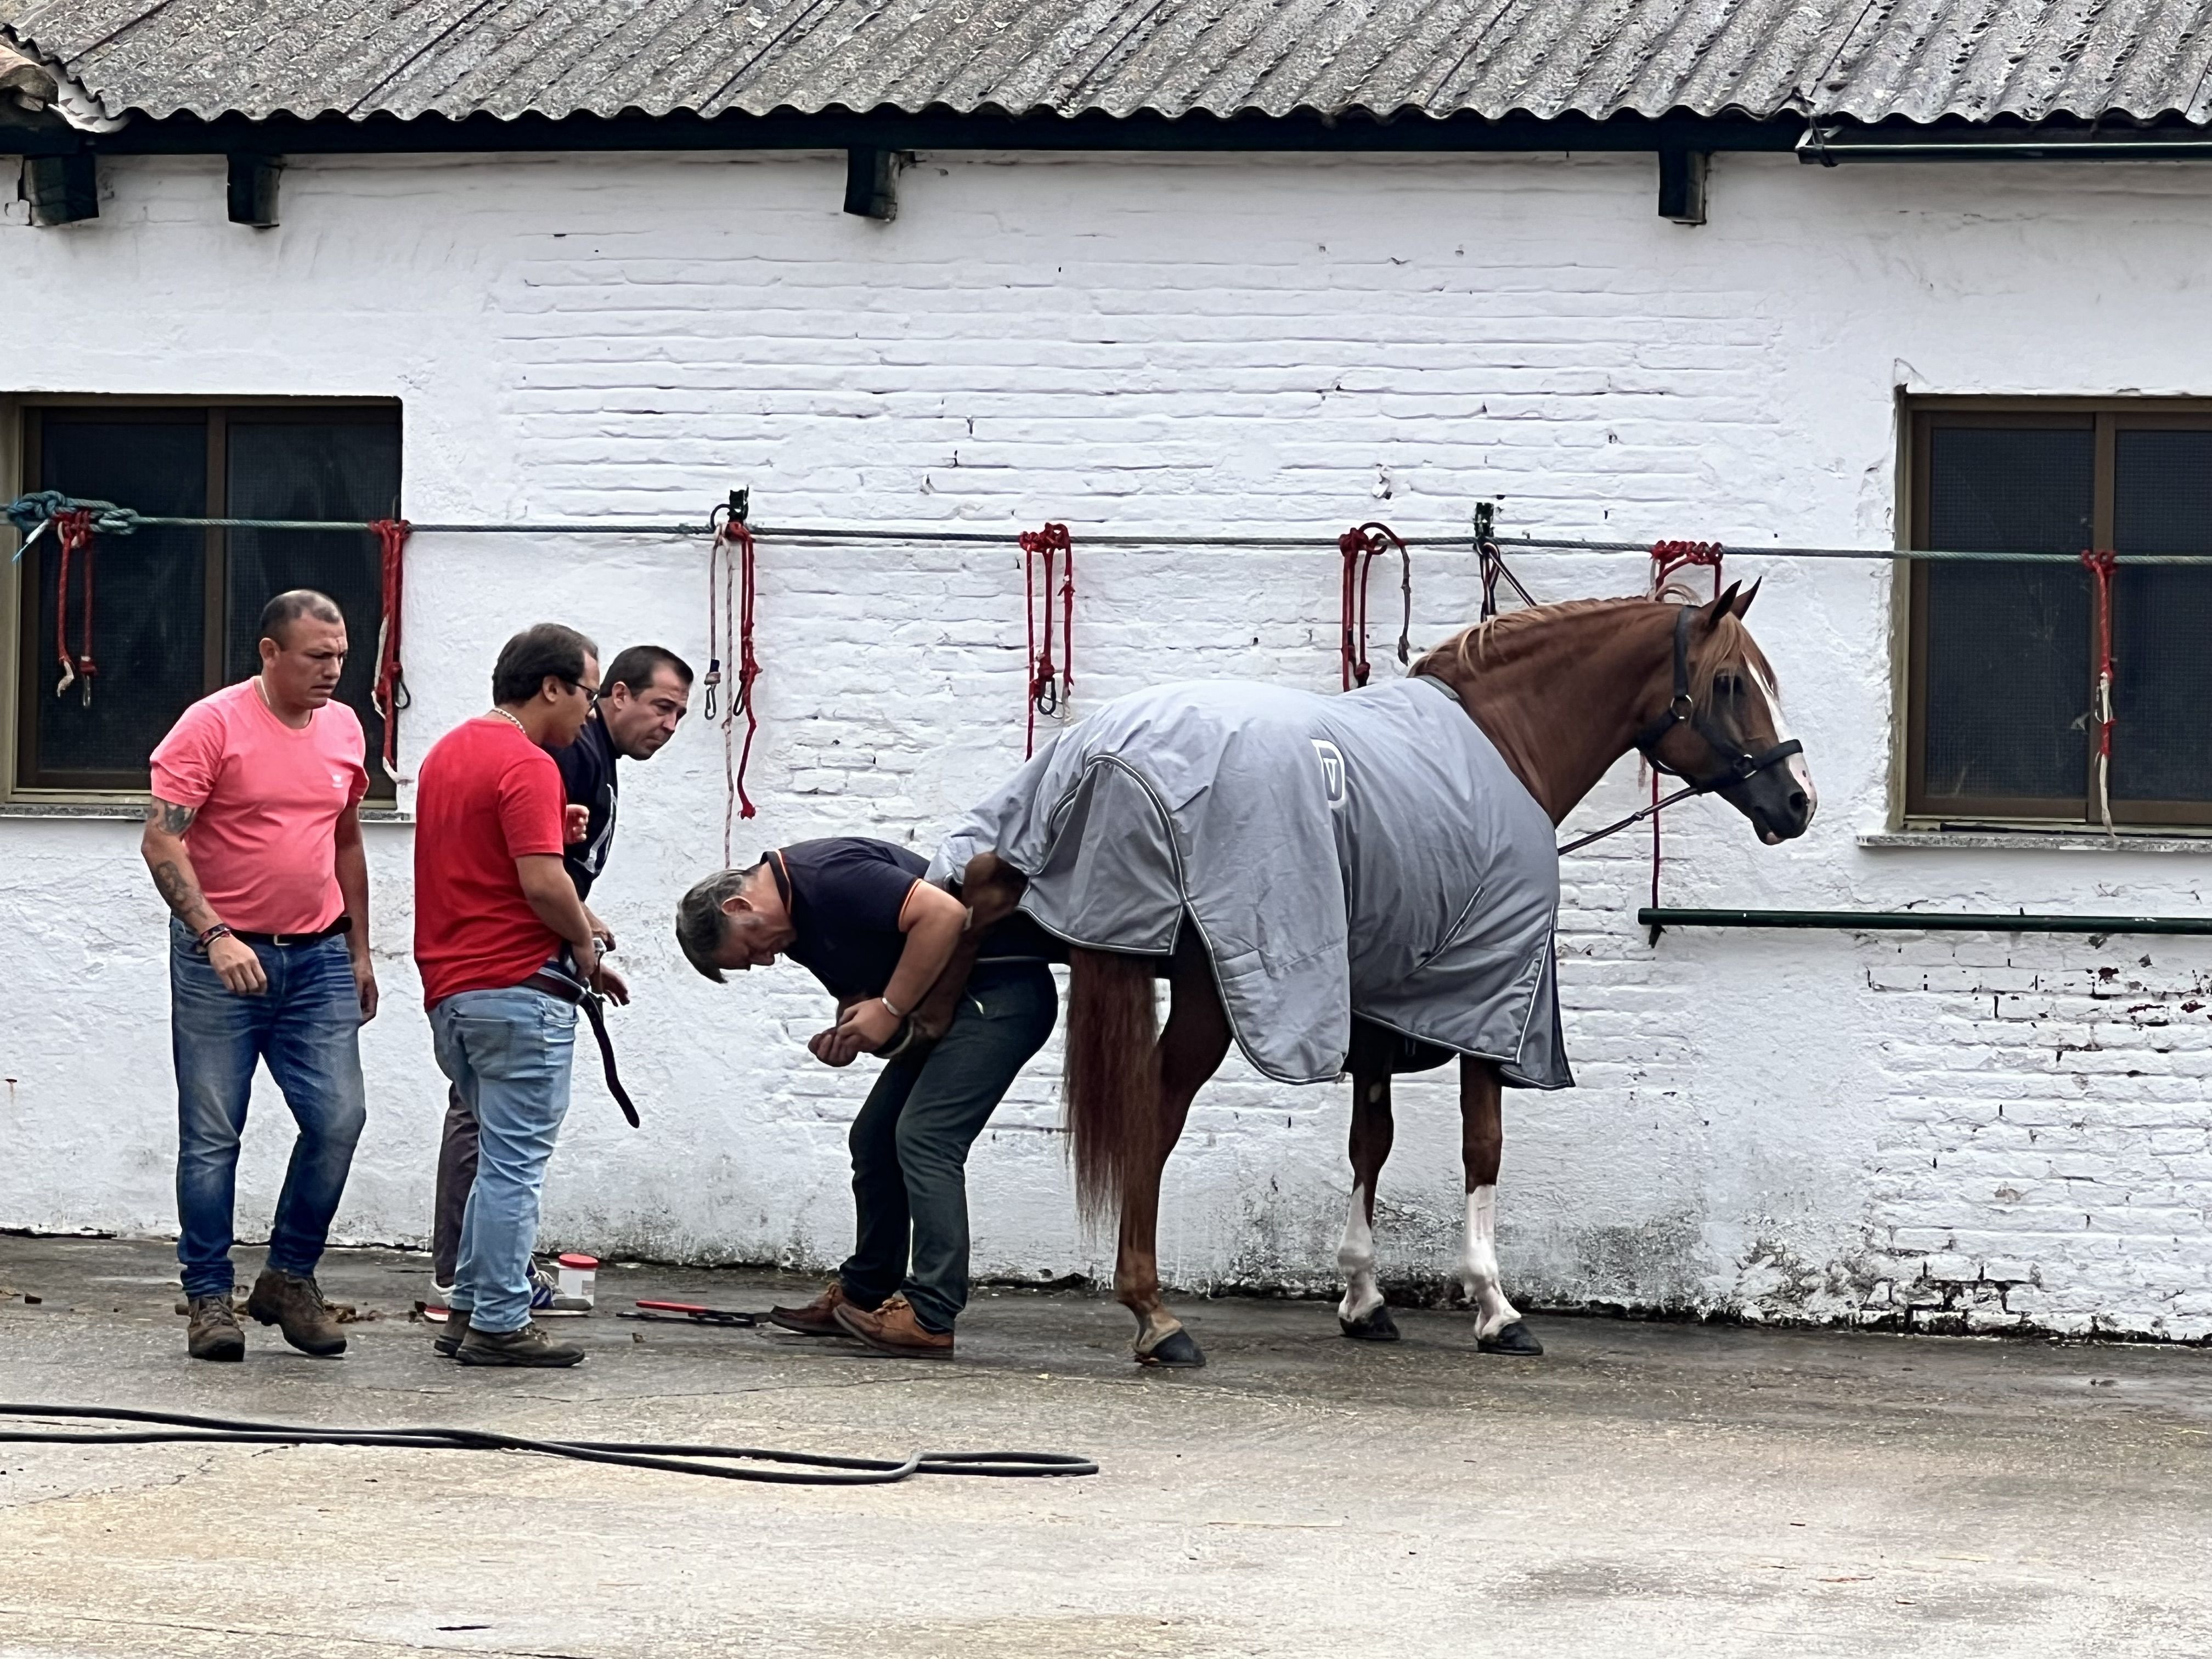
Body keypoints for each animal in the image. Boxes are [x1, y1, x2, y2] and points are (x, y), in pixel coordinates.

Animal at [907, 592, 1805, 1371]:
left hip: (1049, 889)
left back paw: (914, 1018)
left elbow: (1370, 1140)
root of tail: (1108, 759)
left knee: (977, 887)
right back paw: (1154, 1313)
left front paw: (1364, 1298)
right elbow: (1484, 1144)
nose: (1799, 802)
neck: (1504, 743)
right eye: (1731, 683)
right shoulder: (1491, 995)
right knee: (1155, 1110)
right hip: (1209, 987)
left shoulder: (1383, 1003)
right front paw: (1495, 1306)